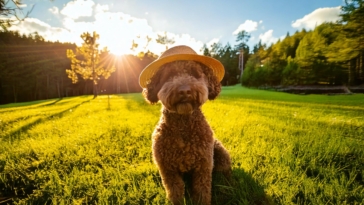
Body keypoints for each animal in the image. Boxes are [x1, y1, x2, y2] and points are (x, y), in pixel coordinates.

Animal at [142, 60, 230, 204]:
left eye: (194, 73)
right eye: (170, 75)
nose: (184, 90)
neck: (183, 125)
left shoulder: (203, 166)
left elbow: (202, 192)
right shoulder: (168, 170)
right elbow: (175, 192)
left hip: (221, 154)